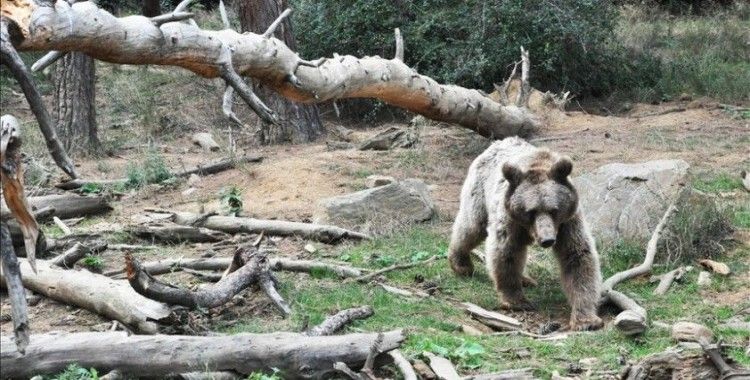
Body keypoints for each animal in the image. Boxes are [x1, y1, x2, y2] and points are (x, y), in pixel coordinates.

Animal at [446, 138, 604, 332]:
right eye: (531, 211)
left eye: (554, 210)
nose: (547, 240)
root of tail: (496, 143)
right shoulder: (510, 219)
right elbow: (507, 253)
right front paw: (517, 301)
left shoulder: (568, 223)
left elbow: (578, 257)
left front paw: (586, 319)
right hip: (480, 192)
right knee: (471, 226)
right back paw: (461, 264)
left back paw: (526, 279)